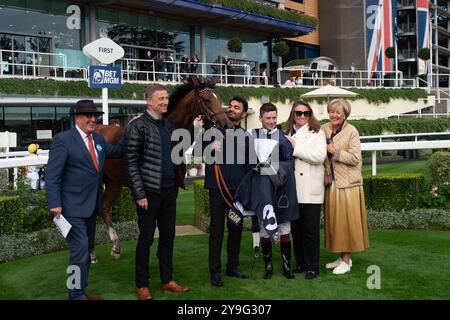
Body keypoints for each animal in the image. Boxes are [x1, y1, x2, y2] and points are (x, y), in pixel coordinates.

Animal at [91, 76, 232, 262]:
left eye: (220, 99)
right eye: (207, 99)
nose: (226, 125)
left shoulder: (172, 189)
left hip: (114, 182)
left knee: (104, 208)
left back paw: (115, 247)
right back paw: (92, 253)